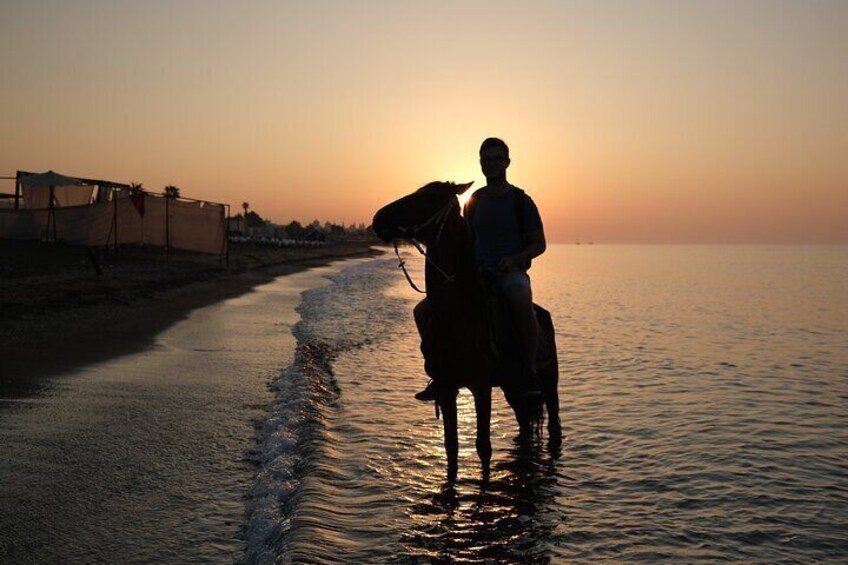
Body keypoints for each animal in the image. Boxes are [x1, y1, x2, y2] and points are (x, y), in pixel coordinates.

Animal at [372, 181, 560, 480]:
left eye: (426, 198)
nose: (379, 217)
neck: (459, 313)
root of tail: (543, 314)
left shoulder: (481, 387)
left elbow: (483, 448)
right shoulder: (447, 389)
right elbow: (451, 447)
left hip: (549, 384)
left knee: (554, 426)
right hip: (511, 386)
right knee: (523, 424)